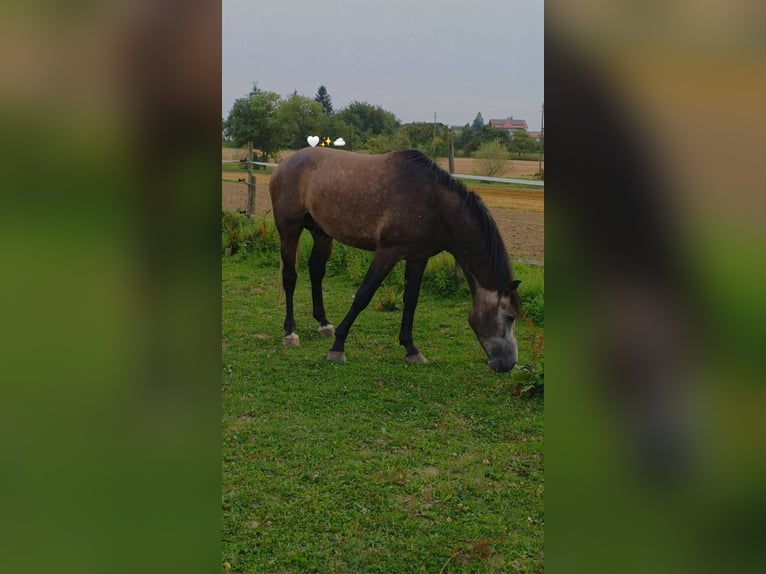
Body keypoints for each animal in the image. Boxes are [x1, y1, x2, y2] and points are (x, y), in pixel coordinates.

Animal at [268, 147, 521, 372]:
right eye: (510, 317)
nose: (508, 364)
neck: (433, 203)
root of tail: (283, 165)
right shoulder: (387, 252)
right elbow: (363, 296)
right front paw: (338, 347)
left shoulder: (418, 257)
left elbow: (411, 300)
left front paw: (411, 349)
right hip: (289, 230)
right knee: (289, 277)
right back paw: (290, 332)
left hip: (322, 233)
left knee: (316, 271)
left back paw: (323, 323)